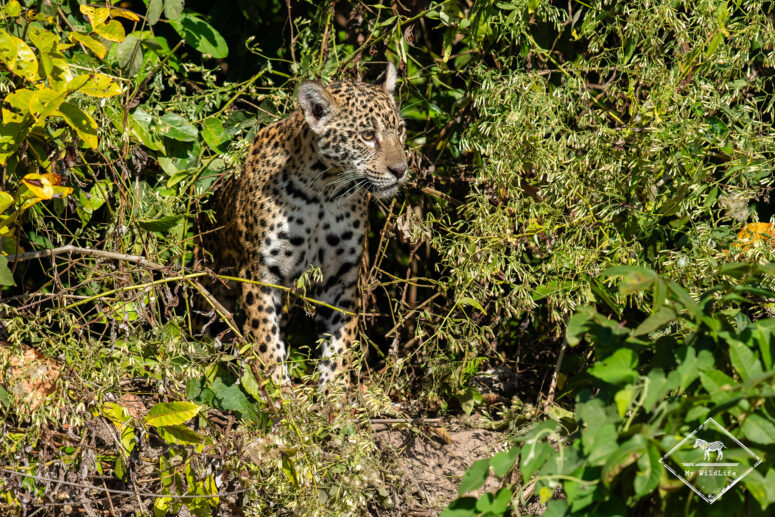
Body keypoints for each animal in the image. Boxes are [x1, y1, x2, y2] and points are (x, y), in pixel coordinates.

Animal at [197, 63, 408, 389]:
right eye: (368, 135)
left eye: (400, 130)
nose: (401, 170)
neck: (322, 193)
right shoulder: (260, 273)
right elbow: (265, 340)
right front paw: (279, 391)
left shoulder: (342, 277)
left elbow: (339, 344)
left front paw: (333, 394)